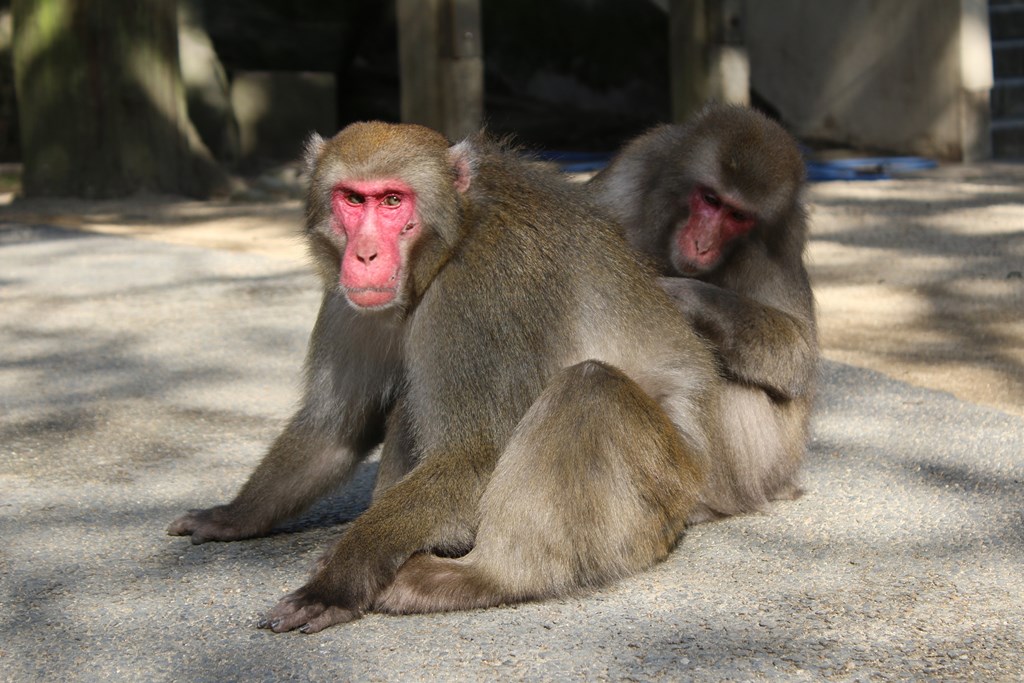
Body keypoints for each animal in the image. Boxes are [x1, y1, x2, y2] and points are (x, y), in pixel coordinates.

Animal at [167, 121, 724, 634]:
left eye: (393, 201)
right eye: (353, 199)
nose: (364, 255)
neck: (453, 239)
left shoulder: (480, 292)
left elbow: (471, 458)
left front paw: (339, 580)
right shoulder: (347, 300)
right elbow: (334, 431)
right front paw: (232, 516)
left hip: (661, 494)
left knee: (589, 389)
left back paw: (483, 578)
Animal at [589, 102, 819, 524]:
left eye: (738, 216)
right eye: (710, 200)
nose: (702, 244)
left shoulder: (780, 239)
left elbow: (798, 355)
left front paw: (687, 297)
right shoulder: (634, 170)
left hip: (769, 467)